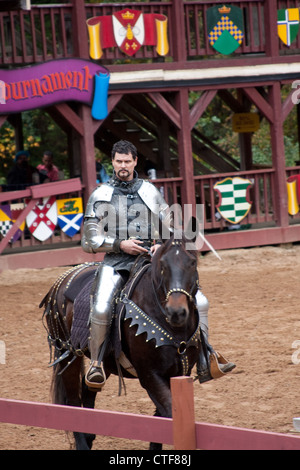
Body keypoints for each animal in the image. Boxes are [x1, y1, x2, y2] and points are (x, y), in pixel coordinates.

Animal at [40, 233, 204, 450]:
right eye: (162, 264)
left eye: (192, 262)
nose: (176, 312)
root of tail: (64, 278)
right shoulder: (150, 375)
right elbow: (169, 414)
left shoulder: (179, 373)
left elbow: (161, 418)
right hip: (68, 354)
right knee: (74, 402)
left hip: (104, 361)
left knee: (88, 389)